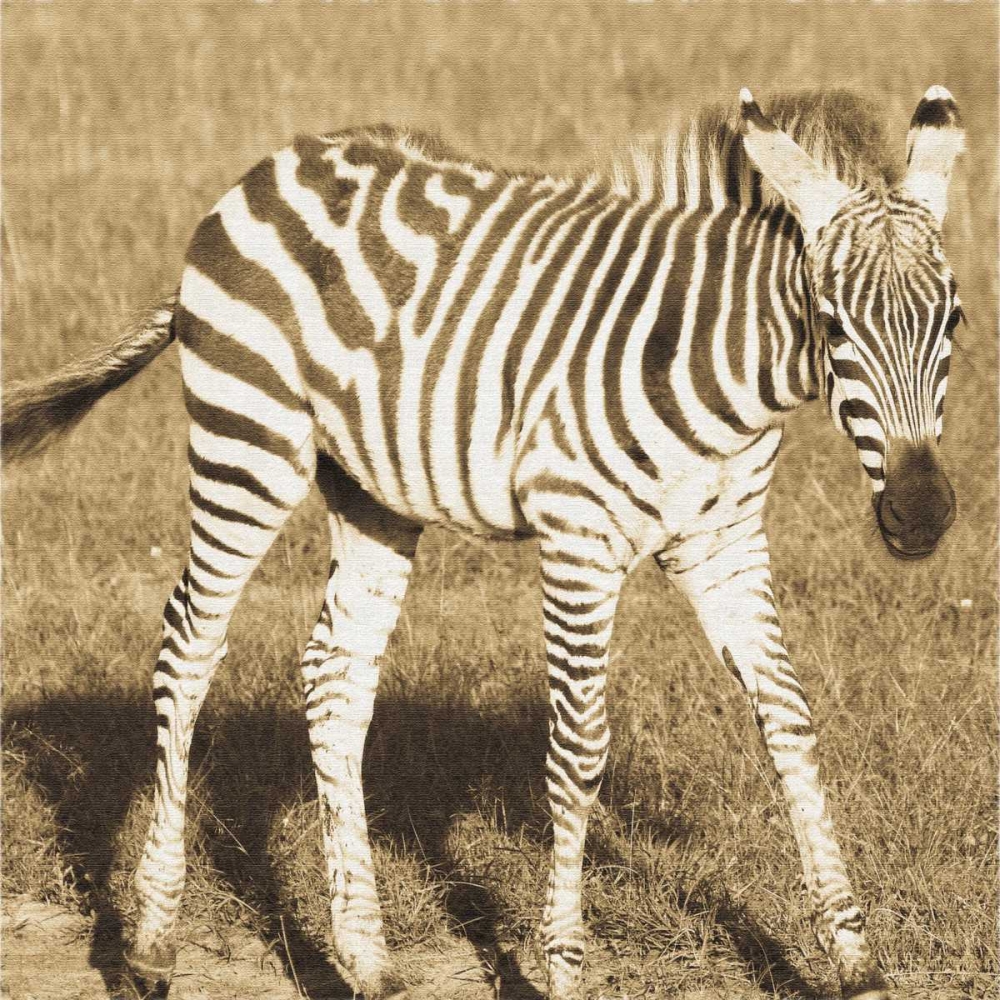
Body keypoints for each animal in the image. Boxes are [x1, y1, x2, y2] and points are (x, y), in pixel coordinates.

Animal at [2, 85, 964, 1000]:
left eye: (953, 321)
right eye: (833, 325)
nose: (921, 513)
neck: (718, 367)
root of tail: (268, 167)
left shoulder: (724, 545)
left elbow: (791, 721)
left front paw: (857, 962)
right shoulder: (578, 540)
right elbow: (578, 753)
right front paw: (567, 971)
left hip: (371, 490)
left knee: (335, 677)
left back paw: (368, 962)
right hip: (250, 443)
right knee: (189, 648)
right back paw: (152, 949)